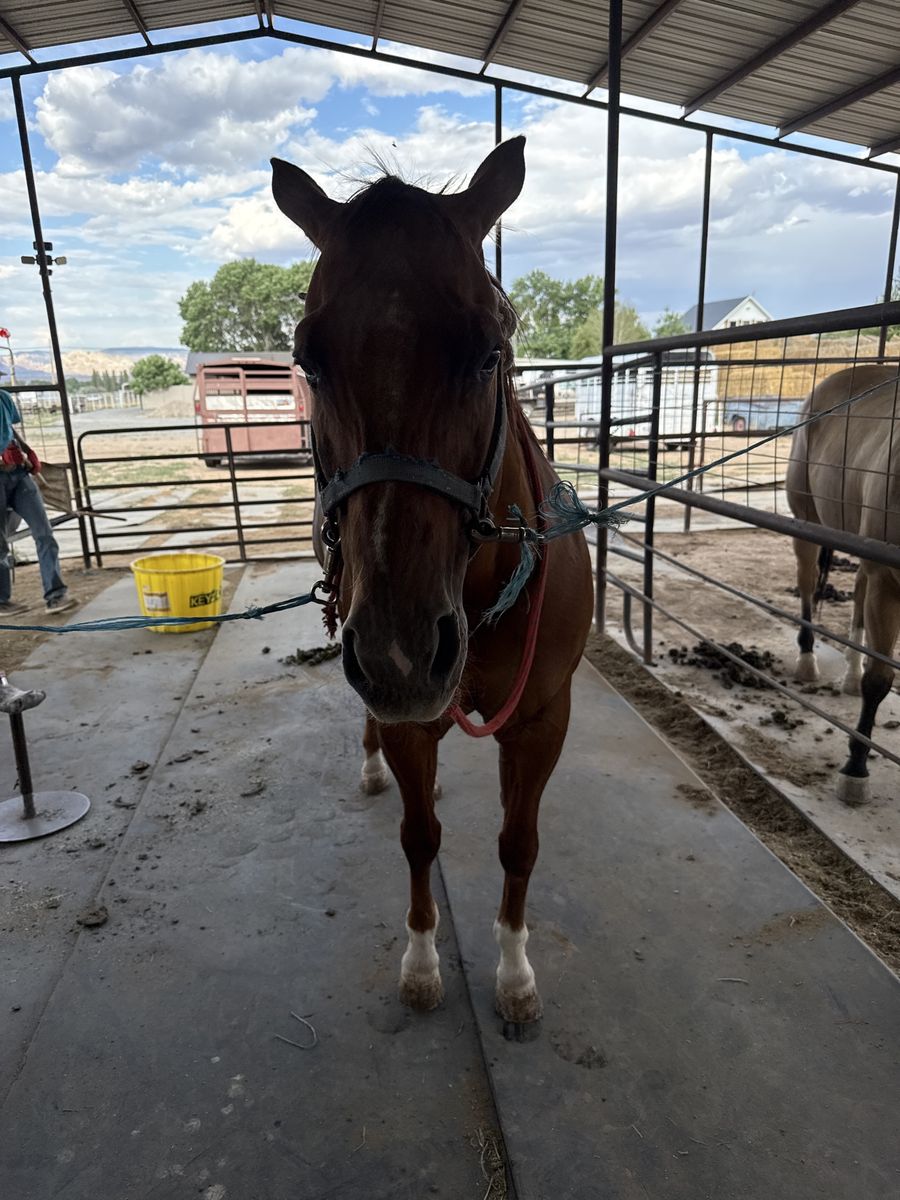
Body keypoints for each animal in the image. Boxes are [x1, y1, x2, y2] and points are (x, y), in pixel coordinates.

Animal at [271, 137, 593, 1025]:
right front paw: (421, 962)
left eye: (489, 350)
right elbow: (419, 838)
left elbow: (519, 843)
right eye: (308, 357)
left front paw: (514, 973)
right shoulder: (406, 711)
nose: (404, 655)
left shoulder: (542, 718)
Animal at [786, 364, 900, 805]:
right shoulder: (889, 579)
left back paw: (849, 674)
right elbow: (880, 679)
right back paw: (807, 660)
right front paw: (855, 768)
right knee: (806, 586)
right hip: (807, 521)